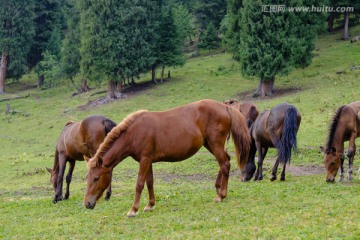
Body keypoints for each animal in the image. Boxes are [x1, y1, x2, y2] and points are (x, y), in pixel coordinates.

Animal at [84, 99, 250, 218]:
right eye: (88, 178)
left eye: (96, 178)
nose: (87, 203)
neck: (133, 133)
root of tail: (225, 107)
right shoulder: (148, 161)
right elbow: (149, 182)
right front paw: (150, 205)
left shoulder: (144, 160)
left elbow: (139, 184)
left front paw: (133, 209)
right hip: (209, 144)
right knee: (225, 161)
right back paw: (218, 188)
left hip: (215, 143)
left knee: (225, 163)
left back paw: (221, 195)